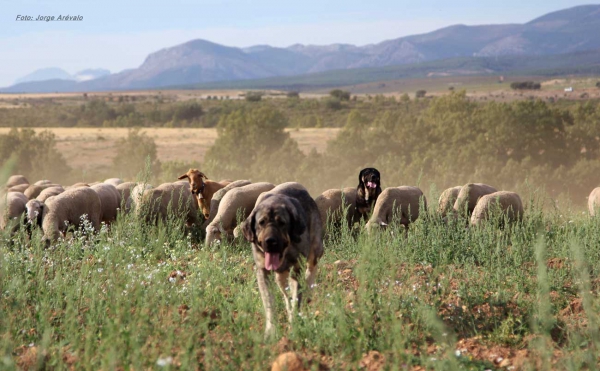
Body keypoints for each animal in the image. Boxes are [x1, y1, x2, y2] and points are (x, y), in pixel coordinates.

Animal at [241, 183, 324, 338]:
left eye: (282, 223)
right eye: (261, 223)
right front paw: (271, 330)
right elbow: (269, 301)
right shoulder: (262, 272)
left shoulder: (297, 268)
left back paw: (308, 290)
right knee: (286, 294)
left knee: (311, 271)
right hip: (281, 276)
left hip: (315, 250)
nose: (270, 241)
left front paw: (295, 325)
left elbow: (297, 298)